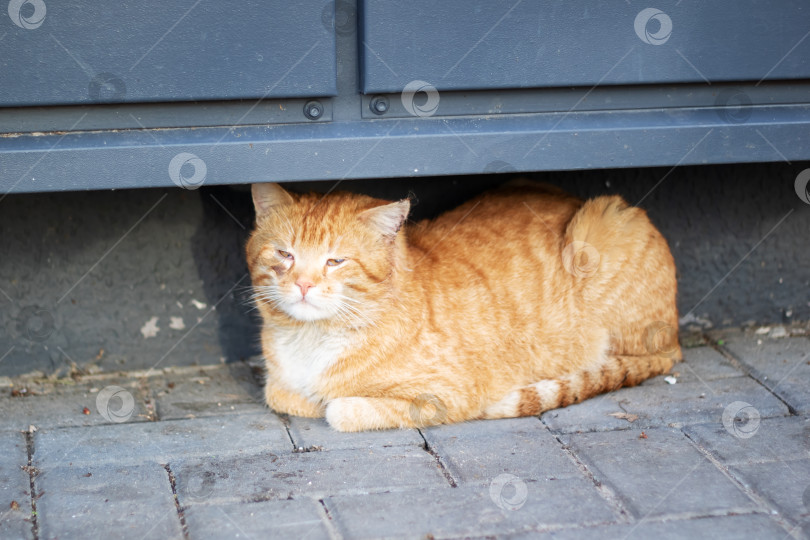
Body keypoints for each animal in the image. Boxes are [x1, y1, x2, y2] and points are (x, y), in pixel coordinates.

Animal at [245, 179, 676, 432]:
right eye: (284, 254)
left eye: (335, 261)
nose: (303, 284)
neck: (310, 339)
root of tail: (675, 341)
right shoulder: (279, 382)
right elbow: (280, 394)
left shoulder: (446, 398)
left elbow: (338, 410)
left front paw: (331, 403)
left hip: (605, 225)